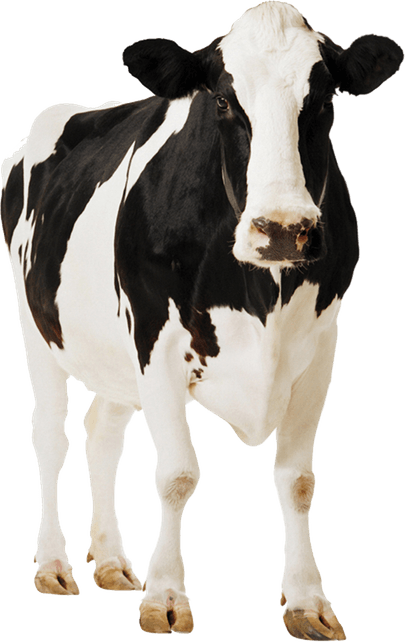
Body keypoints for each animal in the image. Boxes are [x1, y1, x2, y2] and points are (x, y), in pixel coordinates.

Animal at [1, 1, 402, 639]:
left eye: (323, 100)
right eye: (221, 101)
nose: (283, 229)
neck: (260, 289)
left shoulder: (320, 349)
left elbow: (298, 479)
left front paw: (307, 600)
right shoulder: (156, 341)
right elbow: (177, 474)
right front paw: (166, 595)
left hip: (114, 355)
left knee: (101, 432)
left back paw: (110, 560)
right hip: (36, 326)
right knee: (50, 437)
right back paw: (53, 565)